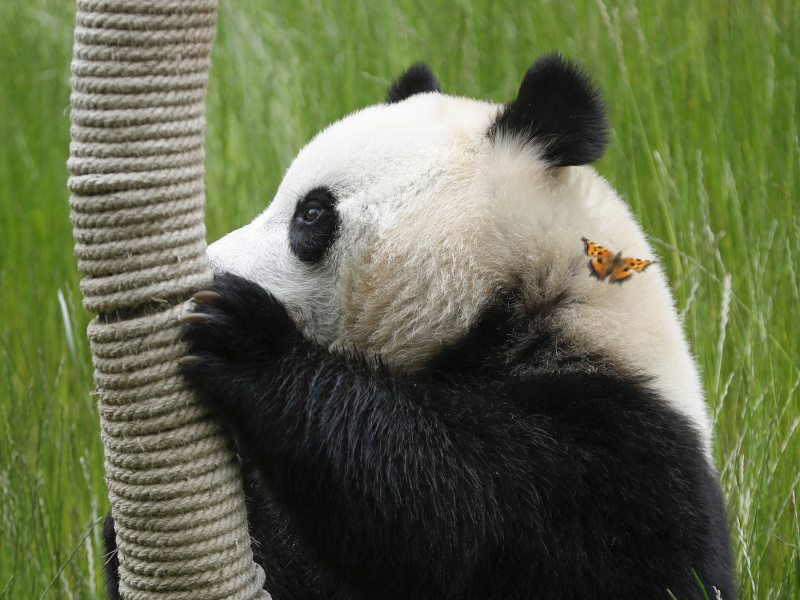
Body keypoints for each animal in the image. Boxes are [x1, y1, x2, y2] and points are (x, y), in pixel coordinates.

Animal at [103, 53, 736, 600]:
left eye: (312, 213)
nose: (211, 270)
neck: (515, 299)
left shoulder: (608, 445)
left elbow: (450, 512)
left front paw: (245, 338)